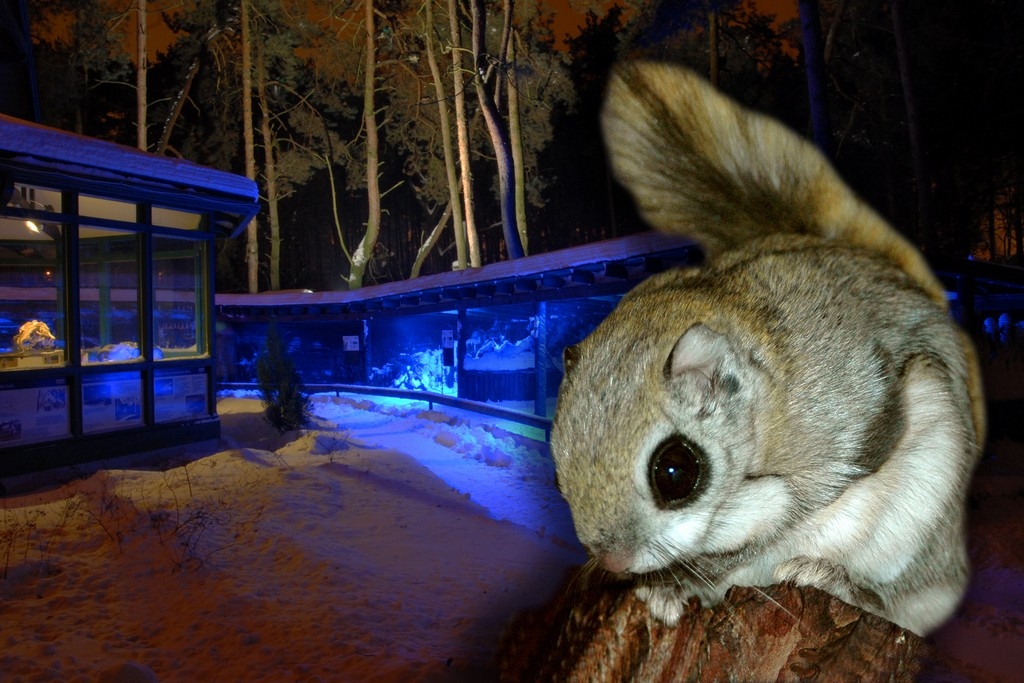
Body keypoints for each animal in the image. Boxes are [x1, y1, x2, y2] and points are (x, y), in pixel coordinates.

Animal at [548, 61, 987, 638]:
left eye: (675, 471)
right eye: (557, 473)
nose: (614, 561)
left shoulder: (833, 438)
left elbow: (769, 536)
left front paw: (684, 582)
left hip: (927, 501)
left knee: (920, 602)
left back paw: (848, 585)